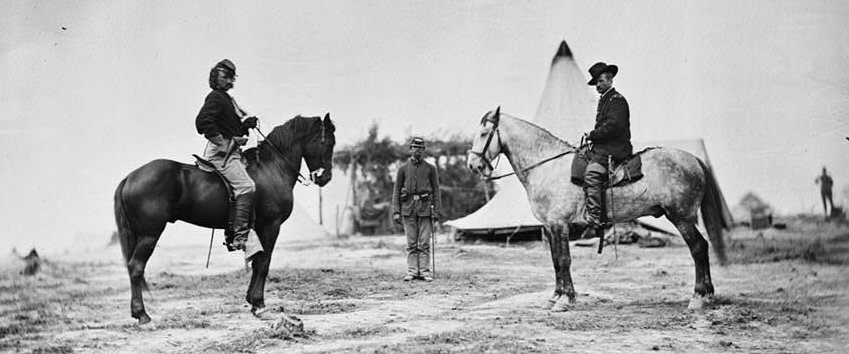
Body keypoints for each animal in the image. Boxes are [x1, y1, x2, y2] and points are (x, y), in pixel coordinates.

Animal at [112, 114, 334, 324]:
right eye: (328, 143)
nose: (326, 178)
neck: (272, 167)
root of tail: (130, 177)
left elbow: (257, 263)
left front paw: (252, 301)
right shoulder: (270, 226)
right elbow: (263, 263)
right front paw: (259, 304)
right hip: (149, 235)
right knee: (136, 267)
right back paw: (142, 315)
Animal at [468, 107, 724, 310]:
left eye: (483, 134)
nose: (473, 165)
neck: (546, 165)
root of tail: (694, 159)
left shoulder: (559, 224)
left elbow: (564, 259)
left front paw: (565, 299)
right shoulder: (550, 227)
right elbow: (555, 260)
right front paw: (555, 297)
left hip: (681, 218)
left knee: (698, 248)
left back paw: (699, 297)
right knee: (701, 247)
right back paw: (707, 295)